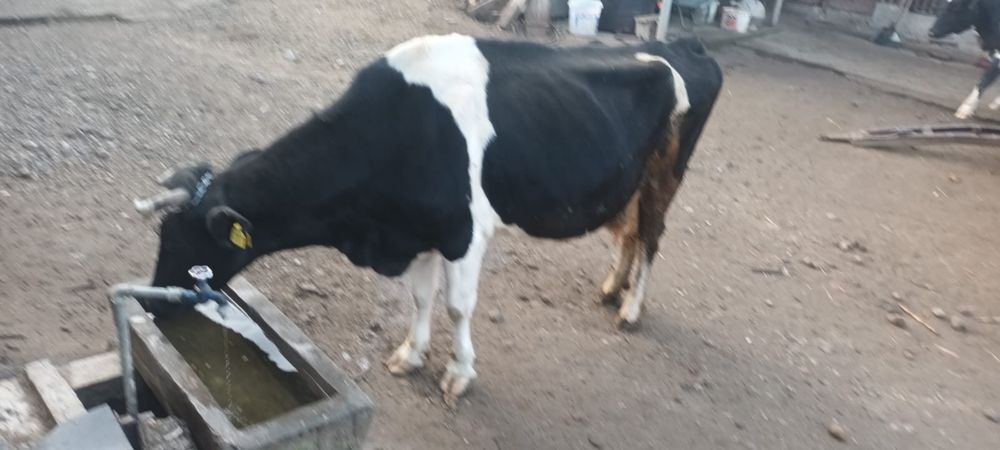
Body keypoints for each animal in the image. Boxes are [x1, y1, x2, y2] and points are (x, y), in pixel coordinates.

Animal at [135, 34, 723, 406]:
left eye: (188, 245)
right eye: (162, 235)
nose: (153, 305)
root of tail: (684, 46)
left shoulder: (464, 233)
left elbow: (458, 307)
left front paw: (459, 374)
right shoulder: (414, 231)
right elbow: (421, 298)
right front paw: (410, 355)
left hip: (667, 174)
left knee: (651, 236)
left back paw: (630, 308)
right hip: (635, 179)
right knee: (629, 233)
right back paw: (611, 286)